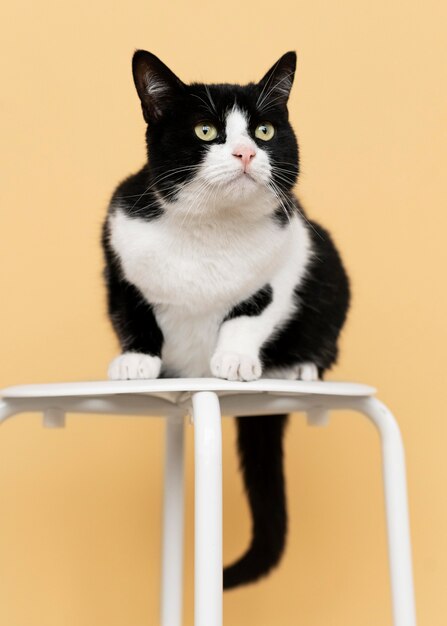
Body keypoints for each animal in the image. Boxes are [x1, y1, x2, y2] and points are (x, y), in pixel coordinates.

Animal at [101, 51, 350, 588]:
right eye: (205, 130)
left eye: (263, 131)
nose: (244, 153)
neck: (210, 228)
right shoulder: (118, 238)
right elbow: (132, 307)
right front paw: (135, 361)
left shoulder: (294, 247)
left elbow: (253, 309)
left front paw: (234, 359)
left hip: (333, 276)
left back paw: (296, 367)